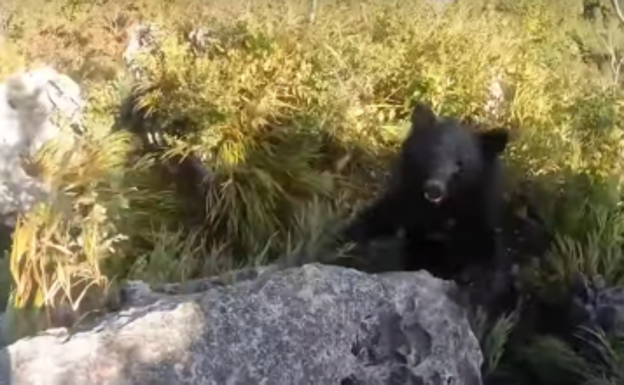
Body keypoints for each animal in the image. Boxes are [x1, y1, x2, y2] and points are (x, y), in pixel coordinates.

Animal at [338, 102, 510, 282]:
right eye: (432, 154)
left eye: (460, 165)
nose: (434, 188)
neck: (438, 211)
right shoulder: (404, 203)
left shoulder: (477, 221)